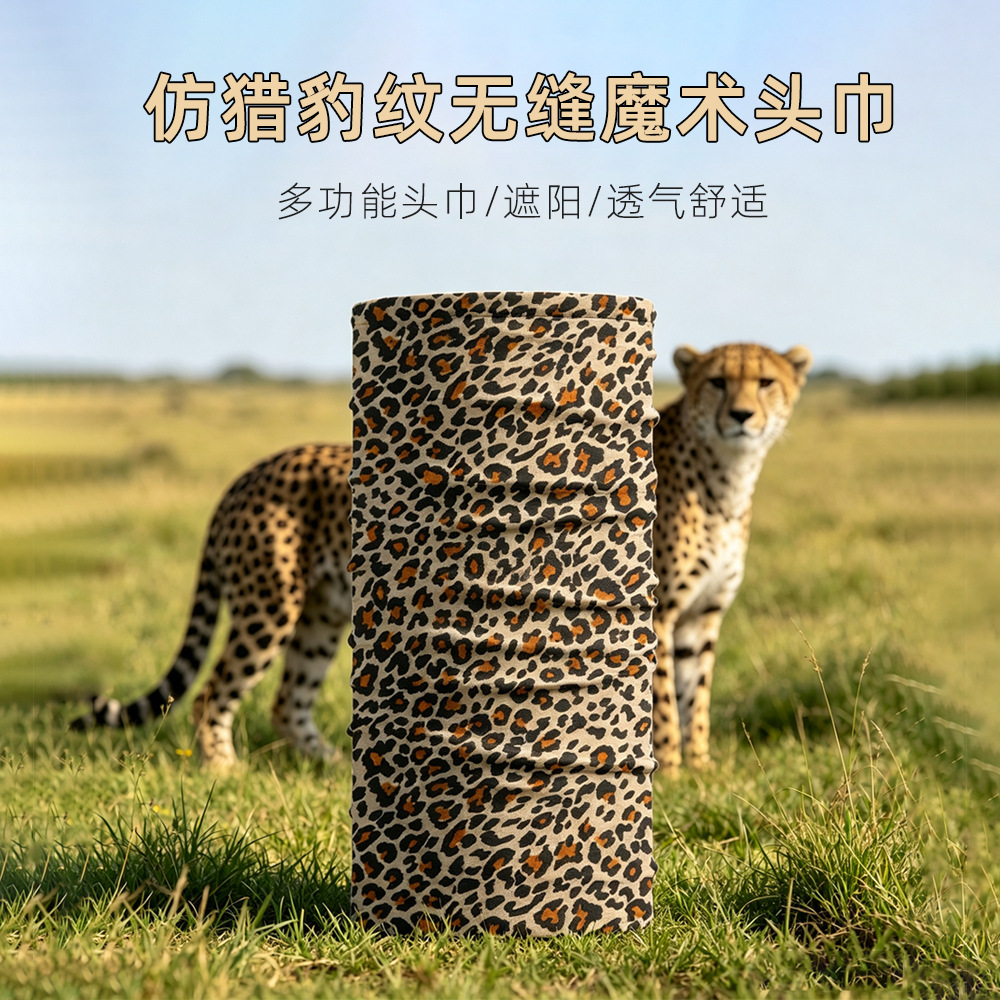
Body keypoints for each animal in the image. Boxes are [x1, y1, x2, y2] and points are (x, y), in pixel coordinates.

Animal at [73, 342, 810, 774]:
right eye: (718, 383)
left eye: (766, 382)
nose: (742, 415)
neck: (726, 476)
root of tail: (251, 469)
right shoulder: (652, 612)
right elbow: (660, 700)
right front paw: (672, 771)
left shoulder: (701, 618)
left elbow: (696, 695)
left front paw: (703, 771)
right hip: (270, 605)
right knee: (213, 693)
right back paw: (223, 769)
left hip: (323, 612)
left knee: (288, 700)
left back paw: (331, 764)